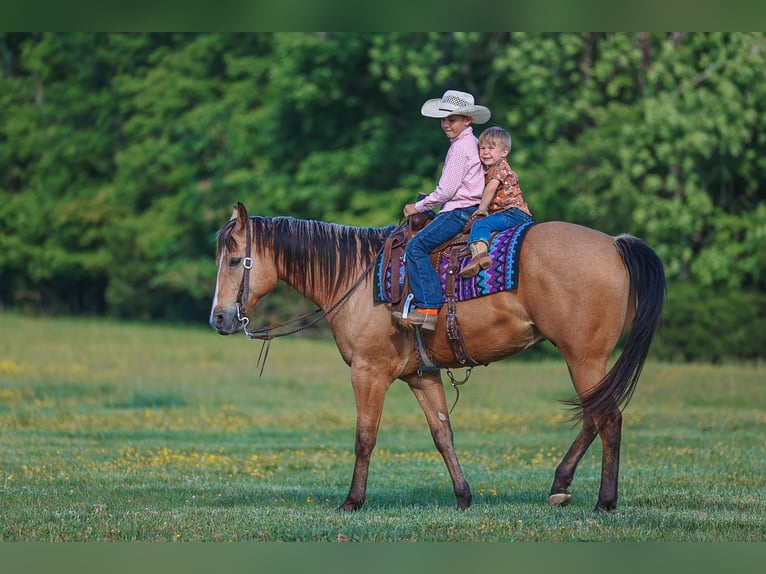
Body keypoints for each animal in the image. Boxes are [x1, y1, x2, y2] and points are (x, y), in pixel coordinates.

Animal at [209, 202, 665, 512]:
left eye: (234, 260)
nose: (218, 318)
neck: (355, 277)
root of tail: (615, 244)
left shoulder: (368, 372)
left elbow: (364, 438)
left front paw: (352, 501)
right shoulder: (422, 375)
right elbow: (442, 434)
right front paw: (463, 496)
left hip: (583, 357)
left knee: (607, 418)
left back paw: (604, 501)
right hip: (585, 360)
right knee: (594, 416)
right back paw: (560, 484)